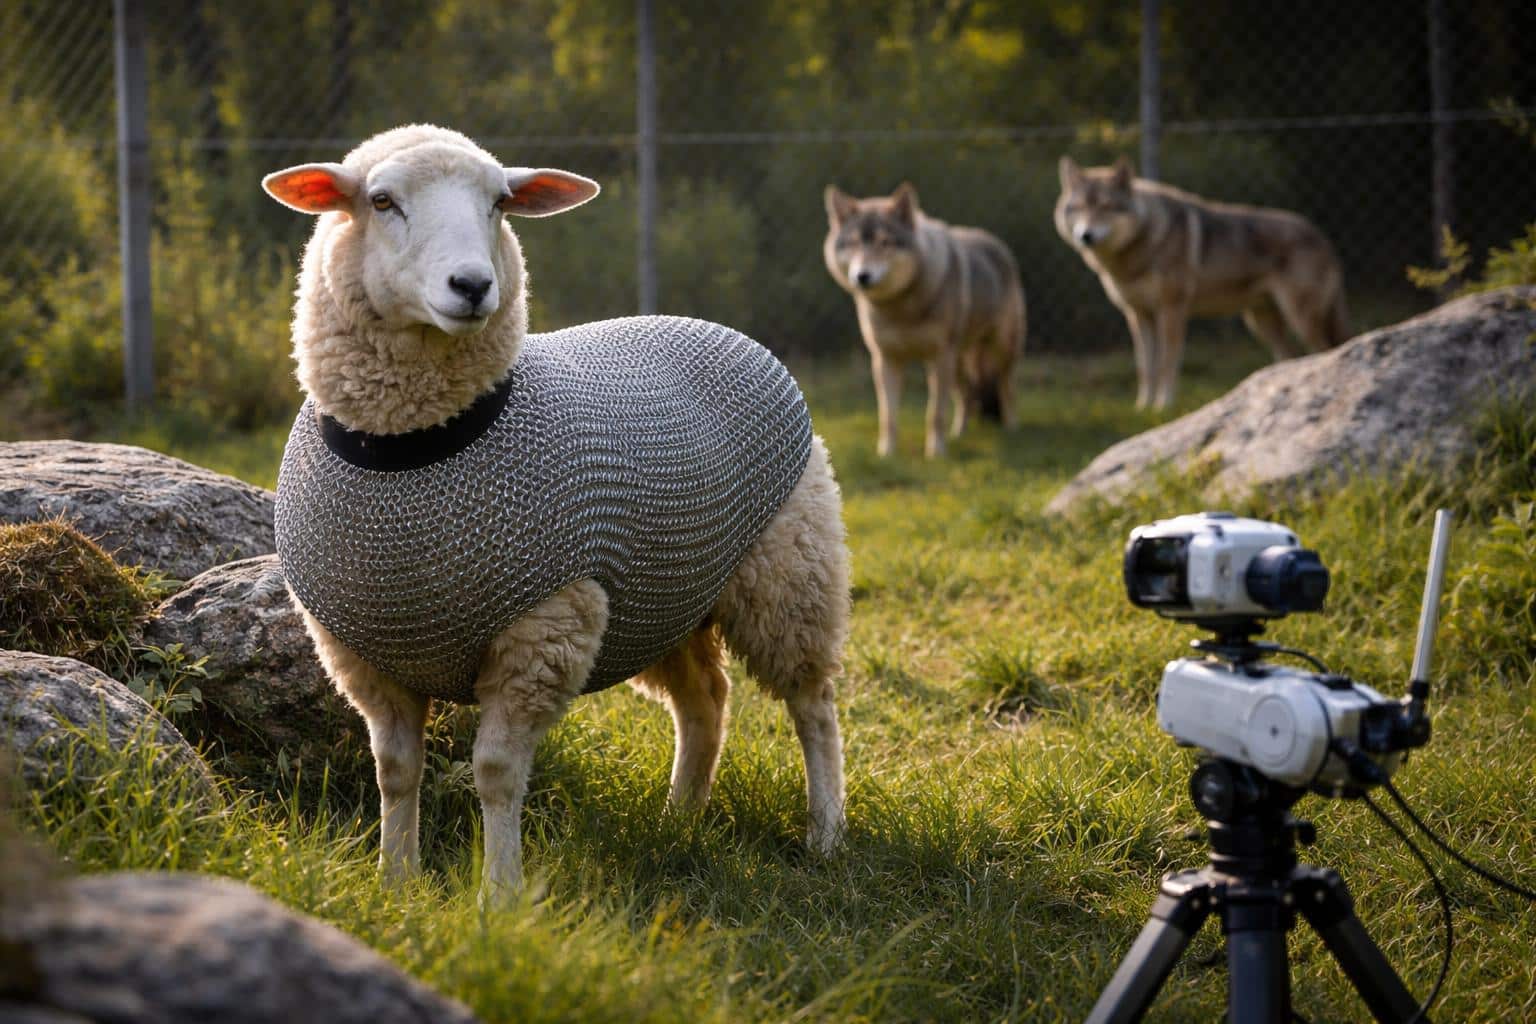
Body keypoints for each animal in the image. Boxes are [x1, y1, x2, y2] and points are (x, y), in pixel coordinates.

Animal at [262, 124, 850, 904]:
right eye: (381, 201)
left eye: (499, 203)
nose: (473, 285)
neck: (417, 446)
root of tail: (717, 325)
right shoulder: (363, 655)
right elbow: (395, 771)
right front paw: (396, 882)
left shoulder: (541, 631)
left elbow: (495, 773)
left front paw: (500, 895)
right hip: (665, 599)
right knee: (705, 700)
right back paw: (680, 819)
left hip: (791, 567)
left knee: (813, 703)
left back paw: (825, 835)